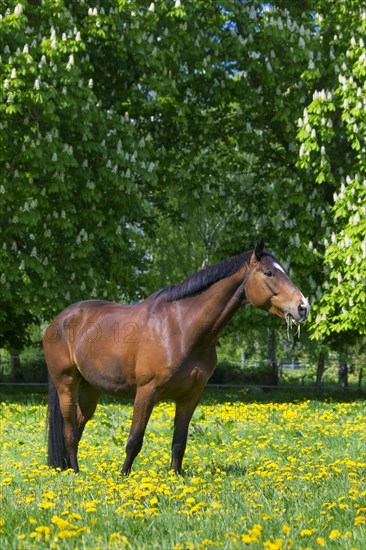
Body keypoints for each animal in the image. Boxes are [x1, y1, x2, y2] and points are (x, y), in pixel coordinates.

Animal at [44, 239, 310, 476]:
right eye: (268, 272)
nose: (303, 307)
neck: (180, 328)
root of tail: (59, 320)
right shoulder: (146, 392)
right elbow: (134, 440)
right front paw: (123, 477)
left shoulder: (190, 397)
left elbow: (179, 441)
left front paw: (175, 476)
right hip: (67, 384)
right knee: (69, 430)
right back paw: (74, 472)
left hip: (91, 389)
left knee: (79, 426)